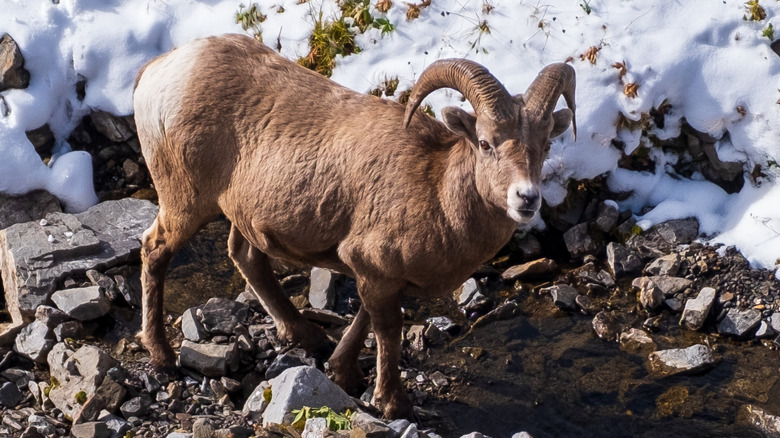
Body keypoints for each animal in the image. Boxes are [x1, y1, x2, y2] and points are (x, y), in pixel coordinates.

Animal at [133, 33, 575, 419]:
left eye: (544, 145)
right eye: (485, 143)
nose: (526, 199)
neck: (437, 191)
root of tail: (157, 70)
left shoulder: (377, 273)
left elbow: (365, 318)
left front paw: (342, 371)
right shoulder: (376, 269)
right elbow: (387, 329)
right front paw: (392, 404)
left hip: (242, 216)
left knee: (246, 258)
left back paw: (309, 338)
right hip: (184, 203)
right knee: (154, 250)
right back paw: (162, 356)